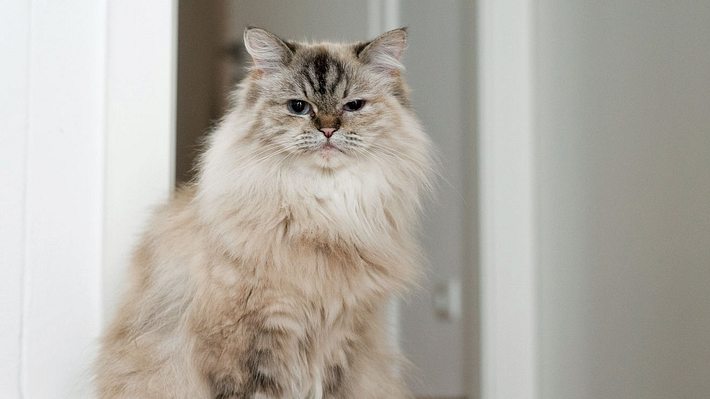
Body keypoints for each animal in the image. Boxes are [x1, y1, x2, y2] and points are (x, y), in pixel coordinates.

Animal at [95, 26, 434, 398]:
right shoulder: (249, 340)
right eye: (298, 107)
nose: (328, 129)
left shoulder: (339, 337)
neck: (321, 216)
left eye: (353, 106)